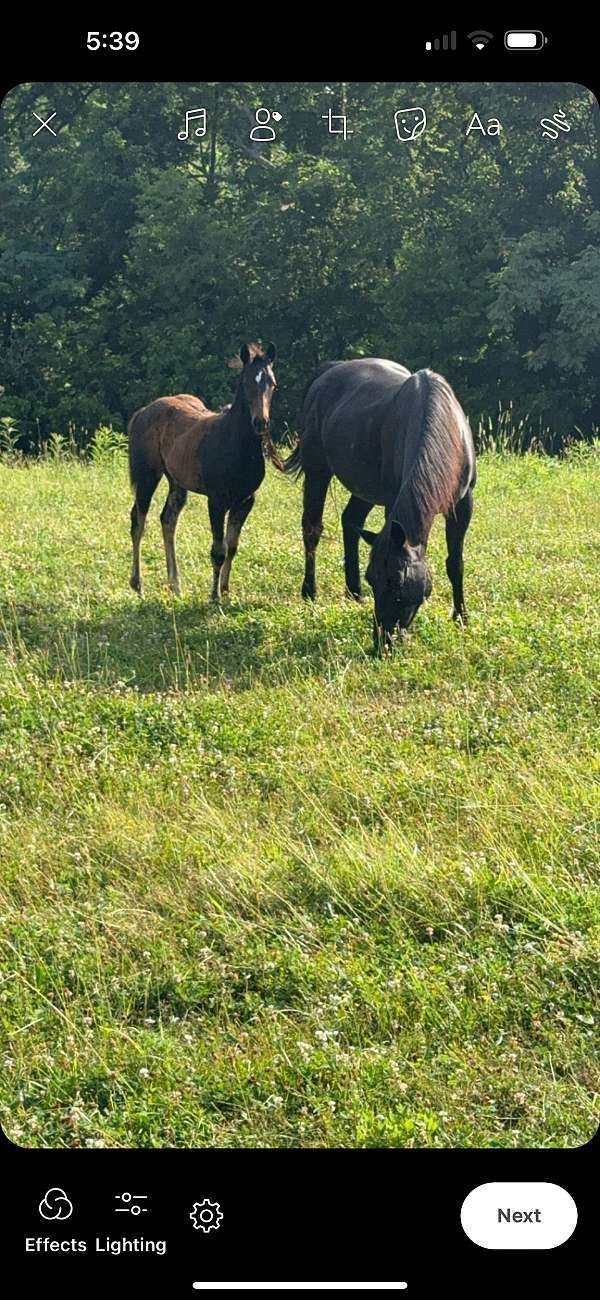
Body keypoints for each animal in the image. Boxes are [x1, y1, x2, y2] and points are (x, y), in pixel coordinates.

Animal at [129, 345, 279, 608]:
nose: (260, 423)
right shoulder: (216, 501)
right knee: (138, 521)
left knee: (167, 519)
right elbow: (218, 550)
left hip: (176, 482)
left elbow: (232, 546)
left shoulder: (245, 500)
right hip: (147, 476)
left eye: (272, 384)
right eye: (246, 382)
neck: (235, 445)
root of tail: (143, 411)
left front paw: (226, 591)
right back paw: (138, 586)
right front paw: (214, 597)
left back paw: (176, 585)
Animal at [283, 358, 475, 647]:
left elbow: (455, 563)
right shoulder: (392, 502)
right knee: (312, 528)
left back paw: (353, 592)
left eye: (397, 582)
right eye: (373, 579)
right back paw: (310, 592)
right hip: (318, 469)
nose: (382, 641)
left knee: (350, 520)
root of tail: (328, 371)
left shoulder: (462, 505)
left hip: (365, 489)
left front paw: (461, 617)